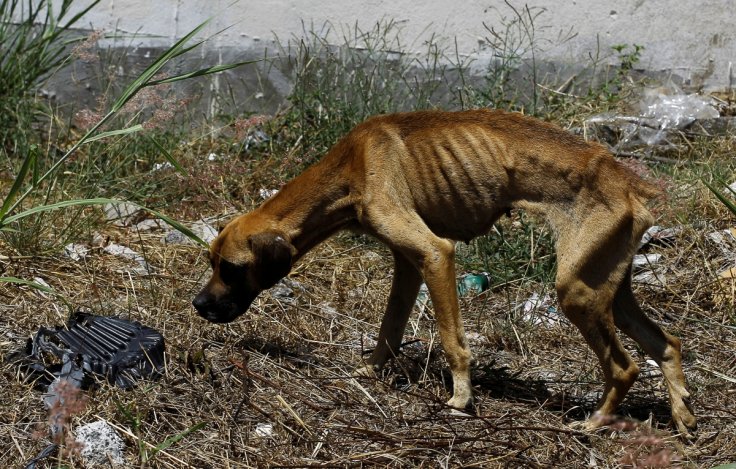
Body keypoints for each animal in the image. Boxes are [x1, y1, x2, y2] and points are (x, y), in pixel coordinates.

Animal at [193, 108, 700, 434]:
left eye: (231, 268)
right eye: (211, 263)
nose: (198, 305)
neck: (352, 165)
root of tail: (626, 178)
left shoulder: (435, 255)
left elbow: (453, 341)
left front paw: (460, 398)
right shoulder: (407, 264)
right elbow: (389, 329)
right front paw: (371, 371)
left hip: (575, 291)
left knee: (624, 367)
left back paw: (595, 423)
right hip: (608, 288)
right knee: (667, 344)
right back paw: (682, 416)